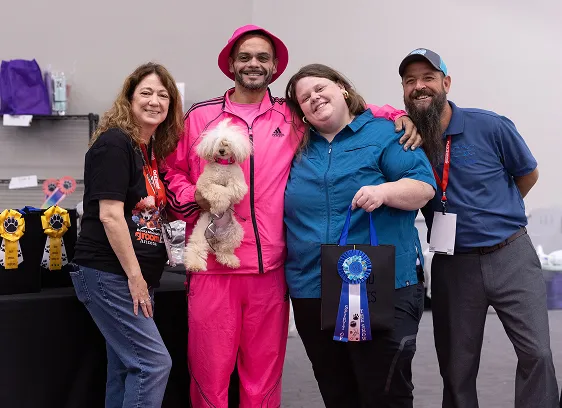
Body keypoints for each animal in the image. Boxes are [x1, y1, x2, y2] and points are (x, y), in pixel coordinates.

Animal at [184, 118, 251, 271]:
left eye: (227, 144)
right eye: (217, 143)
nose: (221, 151)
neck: (223, 166)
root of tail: (216, 236)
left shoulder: (238, 184)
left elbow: (230, 191)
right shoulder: (205, 184)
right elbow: (219, 191)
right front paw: (218, 206)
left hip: (235, 232)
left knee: (223, 250)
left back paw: (230, 260)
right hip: (201, 232)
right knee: (196, 248)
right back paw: (195, 264)